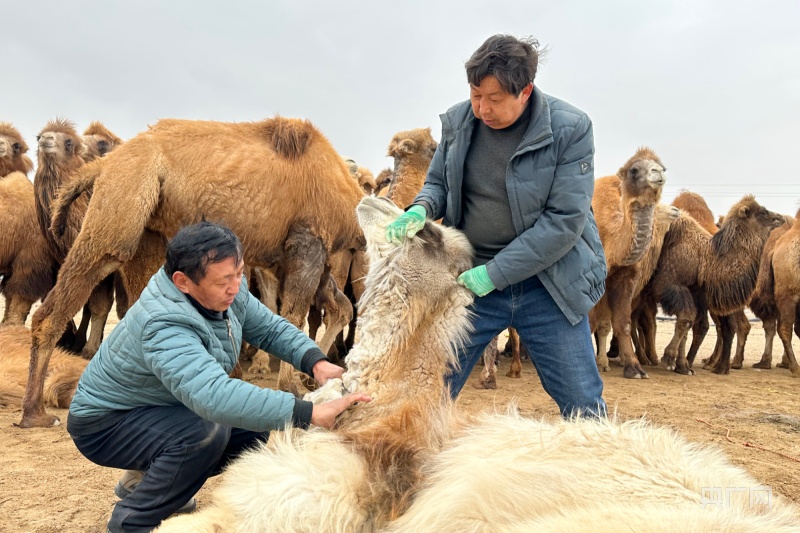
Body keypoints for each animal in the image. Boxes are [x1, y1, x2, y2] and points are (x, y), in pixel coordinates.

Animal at [18, 115, 364, 428]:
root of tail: (105, 164)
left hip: (148, 231)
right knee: (62, 301)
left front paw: (313, 378)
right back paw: (35, 413)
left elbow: (339, 308)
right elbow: (294, 315)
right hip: (123, 202)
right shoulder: (309, 240)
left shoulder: (312, 258)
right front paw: (294, 385)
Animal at [640, 195, 784, 374]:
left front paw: (683, 366)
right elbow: (687, 318)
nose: (781, 218)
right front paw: (669, 359)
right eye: (762, 212)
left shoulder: (694, 293)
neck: (705, 258)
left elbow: (689, 323)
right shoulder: (669, 284)